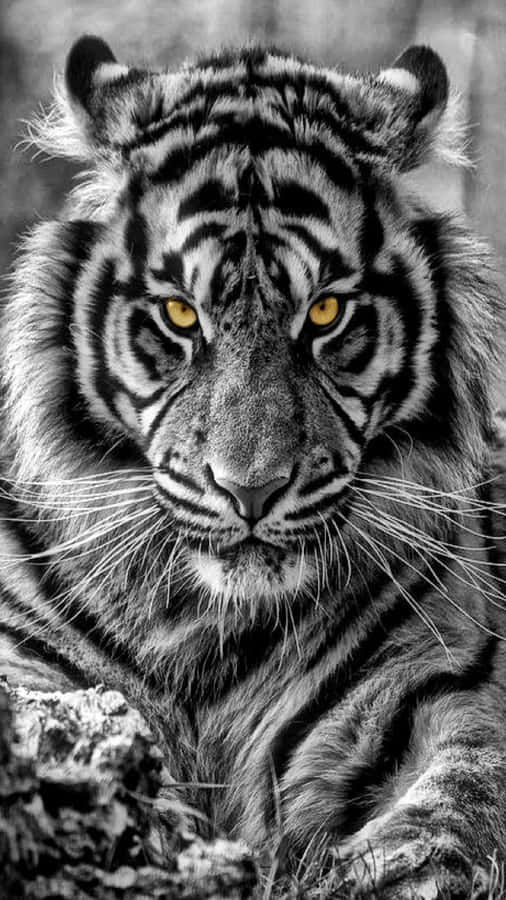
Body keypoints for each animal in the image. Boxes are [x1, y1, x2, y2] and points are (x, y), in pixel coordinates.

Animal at [1, 33, 505, 898]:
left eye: (326, 312)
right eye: (180, 314)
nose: (251, 491)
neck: (209, 627)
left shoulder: (442, 687)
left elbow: (455, 807)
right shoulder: (27, 662)